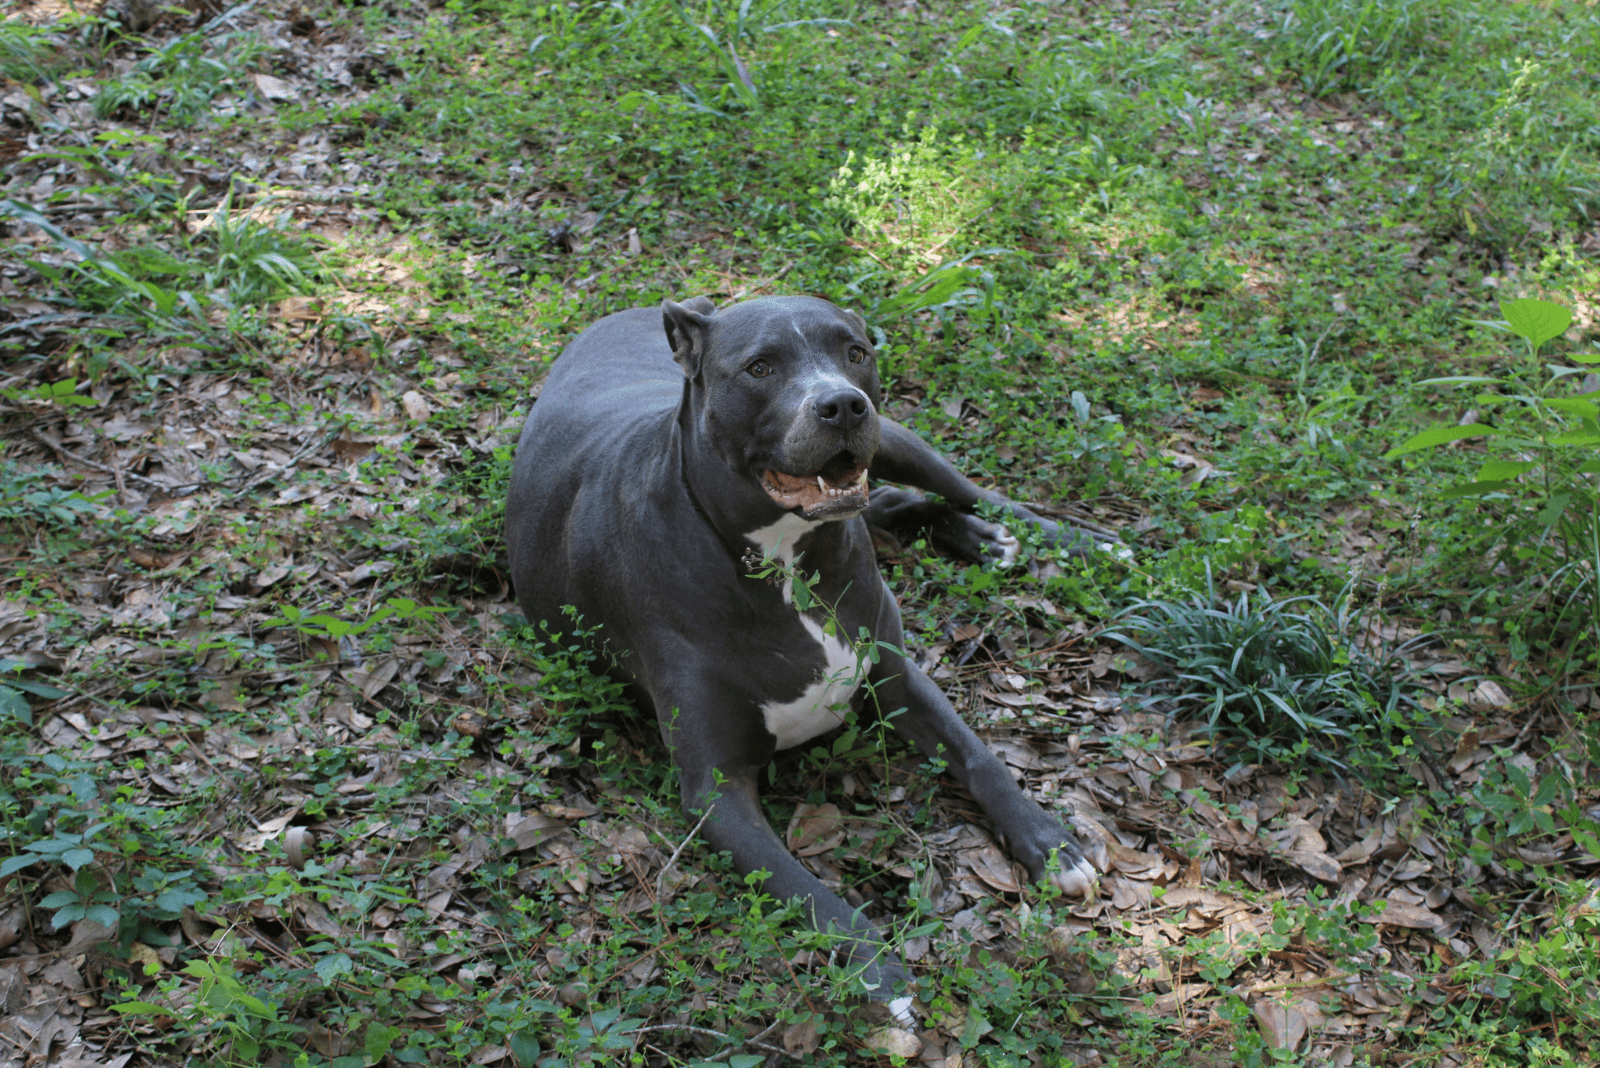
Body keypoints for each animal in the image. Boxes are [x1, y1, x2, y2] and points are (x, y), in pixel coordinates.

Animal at [505, 295, 1107, 1016]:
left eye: (855, 351)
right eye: (760, 367)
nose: (842, 404)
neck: (786, 557)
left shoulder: (896, 676)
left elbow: (979, 756)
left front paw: (1052, 844)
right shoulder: (717, 789)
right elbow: (804, 888)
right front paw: (881, 973)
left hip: (898, 439)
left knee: (968, 492)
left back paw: (1069, 541)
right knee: (895, 504)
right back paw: (983, 540)